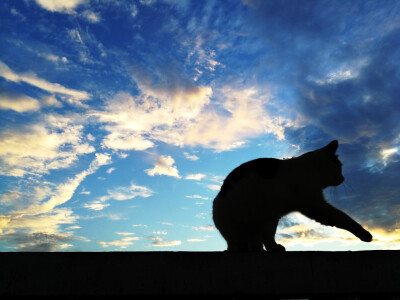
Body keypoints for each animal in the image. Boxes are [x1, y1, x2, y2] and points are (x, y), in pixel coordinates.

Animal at [212, 139, 372, 252]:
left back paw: (274, 248)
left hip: (269, 219)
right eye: (340, 167)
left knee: (264, 238)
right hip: (247, 223)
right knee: (244, 244)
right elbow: (343, 218)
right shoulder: (315, 205)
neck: (309, 171)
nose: (343, 178)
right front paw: (365, 234)